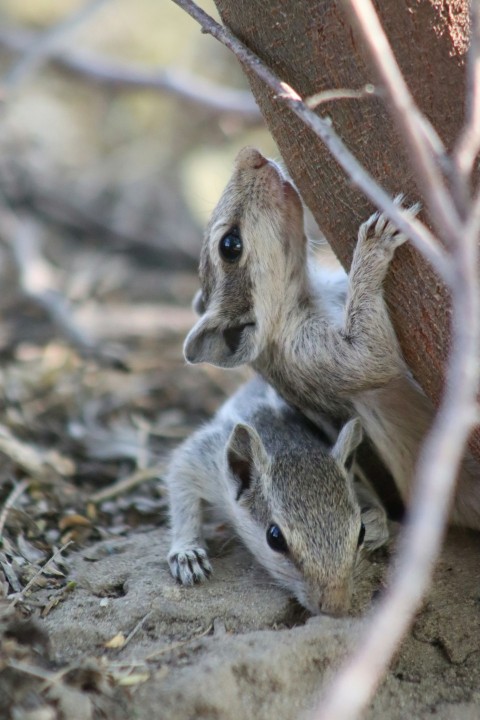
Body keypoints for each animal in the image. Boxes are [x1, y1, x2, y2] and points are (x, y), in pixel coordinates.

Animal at [167, 374, 388, 616]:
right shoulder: (204, 459)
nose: (334, 607)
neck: (288, 442)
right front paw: (187, 553)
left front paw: (377, 521)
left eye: (361, 532)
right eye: (274, 538)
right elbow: (181, 482)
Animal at [184, 146, 480, 528]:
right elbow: (369, 357)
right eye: (230, 245)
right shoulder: (308, 354)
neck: (306, 295)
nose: (250, 154)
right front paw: (371, 249)